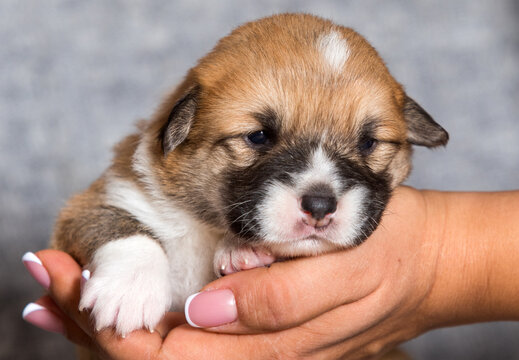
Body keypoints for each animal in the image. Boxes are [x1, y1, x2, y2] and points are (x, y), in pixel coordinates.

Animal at [53, 11, 450, 338]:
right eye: (258, 136)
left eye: (368, 142)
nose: (320, 206)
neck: (208, 225)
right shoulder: (95, 203)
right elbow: (123, 228)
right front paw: (129, 288)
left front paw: (241, 251)